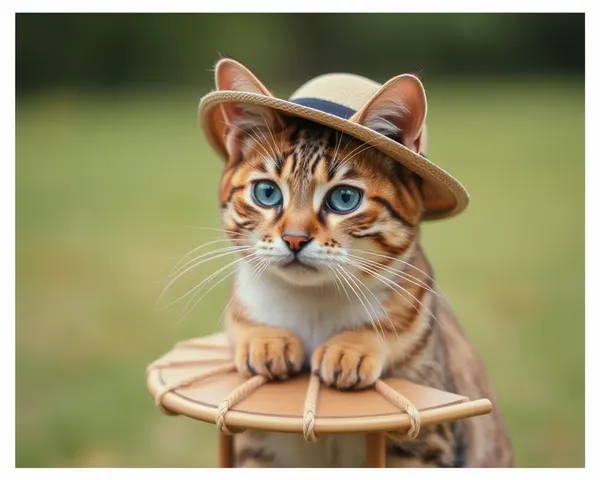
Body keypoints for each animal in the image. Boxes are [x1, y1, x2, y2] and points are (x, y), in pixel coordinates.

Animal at [209, 58, 512, 466]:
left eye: (344, 199)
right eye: (267, 192)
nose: (294, 239)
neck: (313, 303)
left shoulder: (428, 444)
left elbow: (395, 325)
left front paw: (350, 347)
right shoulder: (255, 447)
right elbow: (242, 321)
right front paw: (266, 339)